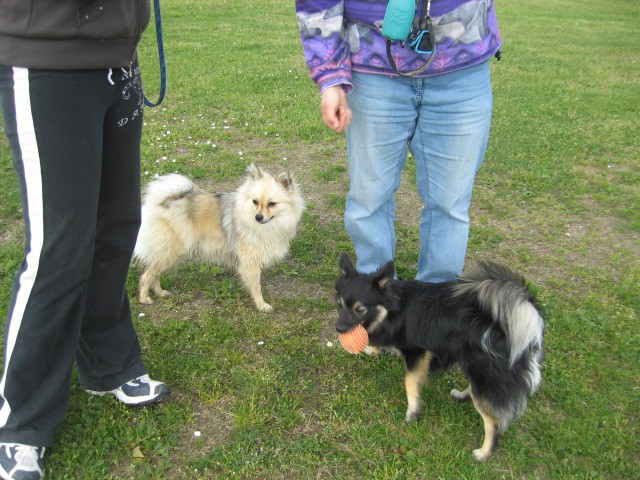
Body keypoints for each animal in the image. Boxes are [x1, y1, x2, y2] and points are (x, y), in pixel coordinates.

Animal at [336, 255, 544, 462]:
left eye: (360, 309)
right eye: (340, 305)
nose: (338, 328)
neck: (395, 308)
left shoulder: (418, 352)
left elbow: (410, 381)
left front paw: (412, 411)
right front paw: (374, 348)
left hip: (485, 372)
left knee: (493, 422)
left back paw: (484, 453)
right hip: (475, 367)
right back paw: (461, 395)